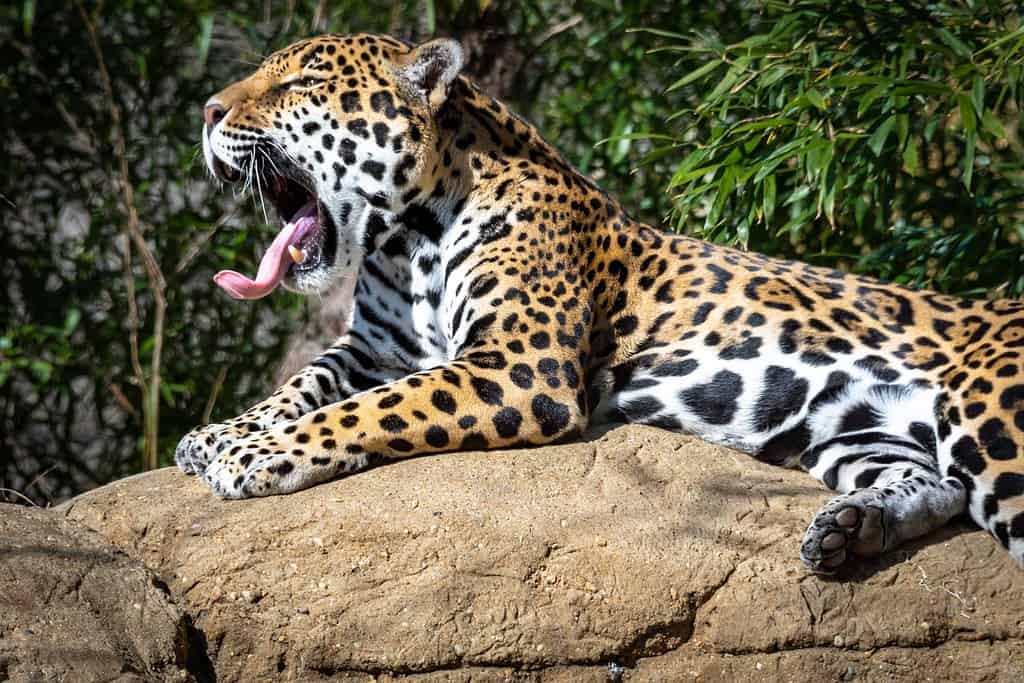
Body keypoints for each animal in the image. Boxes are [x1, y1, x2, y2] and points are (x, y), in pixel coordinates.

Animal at [177, 32, 1024, 573]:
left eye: (301, 83)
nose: (208, 112)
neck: (403, 243)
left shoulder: (520, 366)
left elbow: (369, 409)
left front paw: (254, 455)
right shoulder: (375, 348)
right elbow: (307, 382)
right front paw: (217, 434)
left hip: (990, 418)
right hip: (854, 427)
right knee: (936, 483)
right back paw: (850, 530)